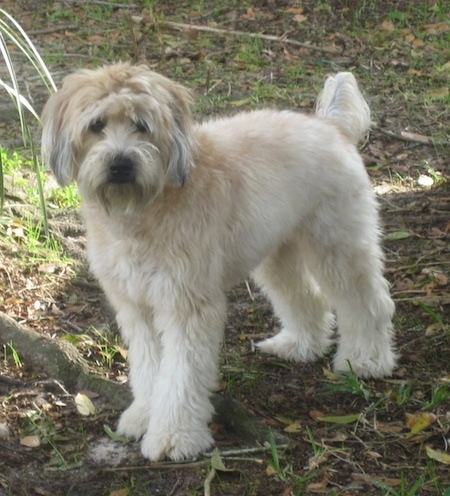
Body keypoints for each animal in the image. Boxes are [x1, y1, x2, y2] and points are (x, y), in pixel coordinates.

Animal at [41, 63, 394, 462]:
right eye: (96, 125)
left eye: (142, 125)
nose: (121, 164)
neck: (145, 209)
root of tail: (329, 125)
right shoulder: (137, 307)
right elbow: (149, 368)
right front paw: (144, 415)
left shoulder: (185, 305)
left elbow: (180, 376)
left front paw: (174, 436)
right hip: (277, 253)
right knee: (306, 299)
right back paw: (300, 346)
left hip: (337, 246)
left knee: (367, 302)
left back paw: (367, 360)